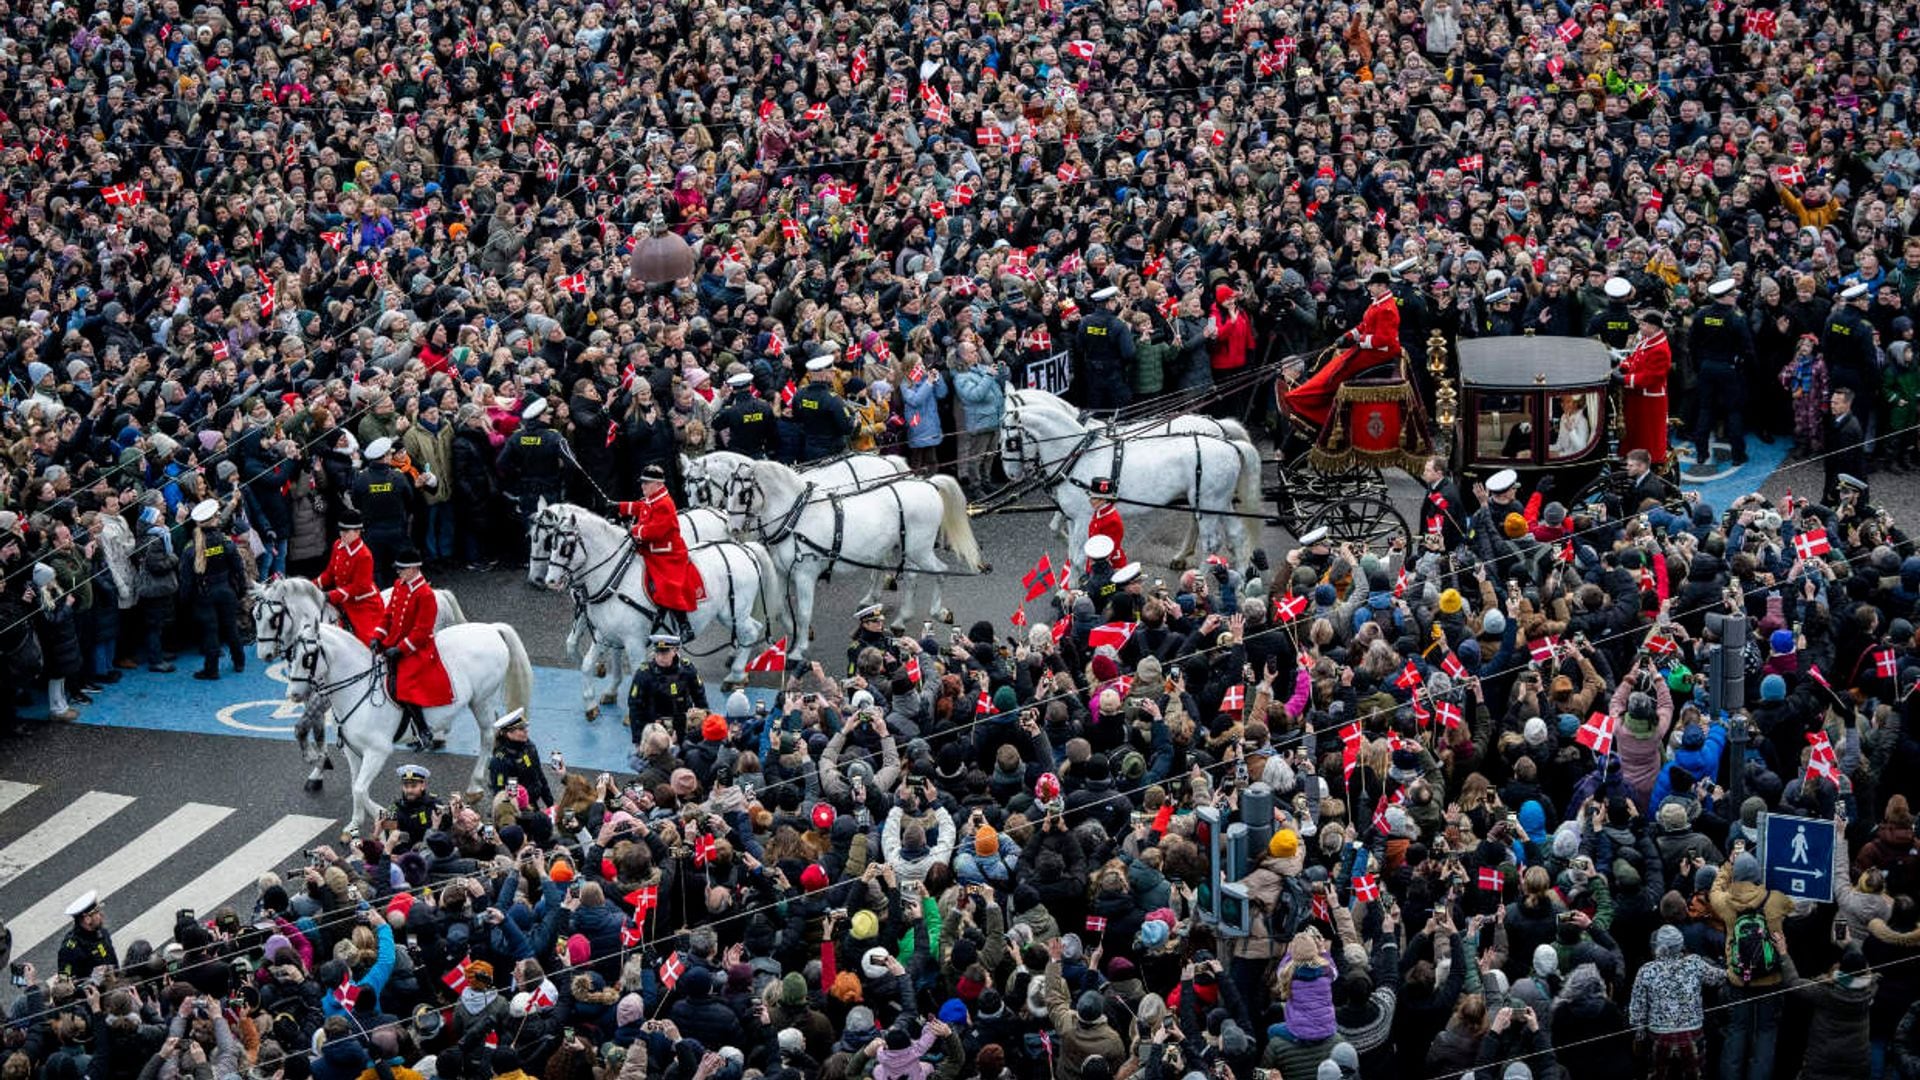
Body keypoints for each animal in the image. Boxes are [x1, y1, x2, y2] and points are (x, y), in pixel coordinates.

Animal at [245, 576, 466, 787]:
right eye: (254, 615)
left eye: (274, 618)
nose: (264, 655)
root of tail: (437, 592)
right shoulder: (312, 696)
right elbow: (317, 730)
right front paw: (319, 769)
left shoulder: (324, 698)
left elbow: (301, 728)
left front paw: (314, 759)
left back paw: (435, 735)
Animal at [280, 614, 533, 834]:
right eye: (290, 656)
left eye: (308, 658)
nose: (292, 694)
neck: (357, 690)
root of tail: (490, 628)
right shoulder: (352, 751)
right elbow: (355, 786)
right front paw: (354, 824)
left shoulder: (378, 751)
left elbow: (360, 789)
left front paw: (382, 815)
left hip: (481, 700)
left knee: (487, 735)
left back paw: (475, 785)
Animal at [537, 503, 783, 687]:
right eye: (551, 543)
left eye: (566, 547)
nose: (550, 581)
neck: (617, 577)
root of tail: (745, 549)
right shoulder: (604, 629)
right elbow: (586, 656)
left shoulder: (633, 640)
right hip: (729, 615)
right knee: (752, 630)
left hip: (735, 613)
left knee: (751, 632)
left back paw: (736, 673)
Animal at [725, 453, 983, 657]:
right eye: (727, 491)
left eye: (743, 494)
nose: (732, 529)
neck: (796, 517)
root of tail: (927, 484)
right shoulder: (781, 572)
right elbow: (779, 608)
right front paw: (791, 633)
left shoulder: (805, 574)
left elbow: (805, 611)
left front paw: (799, 648)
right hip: (908, 548)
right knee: (910, 577)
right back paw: (901, 618)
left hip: (920, 549)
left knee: (940, 572)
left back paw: (939, 611)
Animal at [998, 388, 1267, 572]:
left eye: (1010, 441)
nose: (1010, 475)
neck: (1079, 453)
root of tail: (1228, 441)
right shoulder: (1073, 514)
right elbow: (1064, 539)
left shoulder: (1083, 515)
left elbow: (1077, 555)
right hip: (1218, 501)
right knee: (1236, 535)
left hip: (1208, 502)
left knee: (1211, 542)